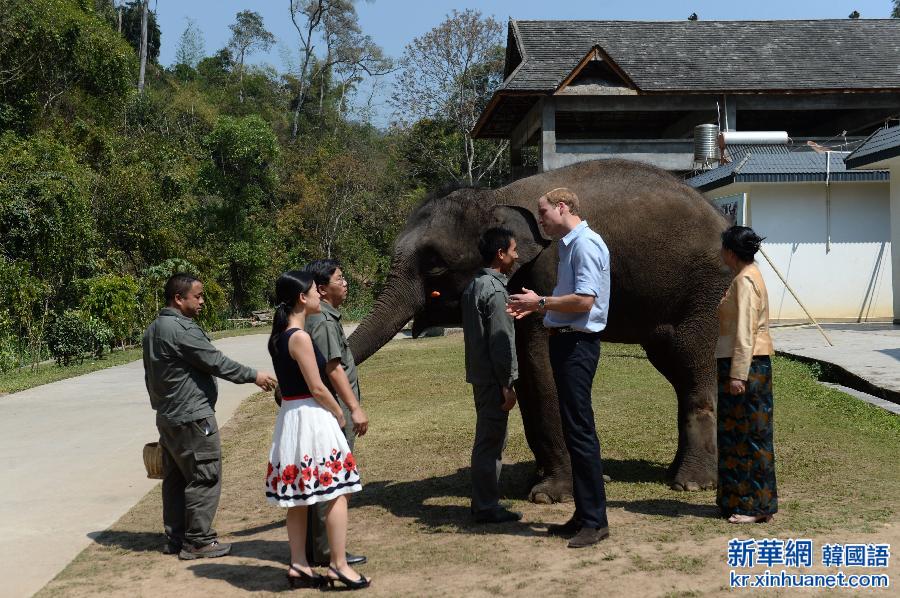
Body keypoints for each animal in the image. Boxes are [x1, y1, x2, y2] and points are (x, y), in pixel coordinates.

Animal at [344, 158, 732, 502]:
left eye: (435, 265)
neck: (495, 198)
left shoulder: (546, 269)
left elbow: (538, 365)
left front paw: (550, 496)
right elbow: (521, 370)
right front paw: (539, 483)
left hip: (705, 292)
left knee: (692, 361)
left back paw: (691, 483)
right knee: (676, 366)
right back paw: (677, 474)